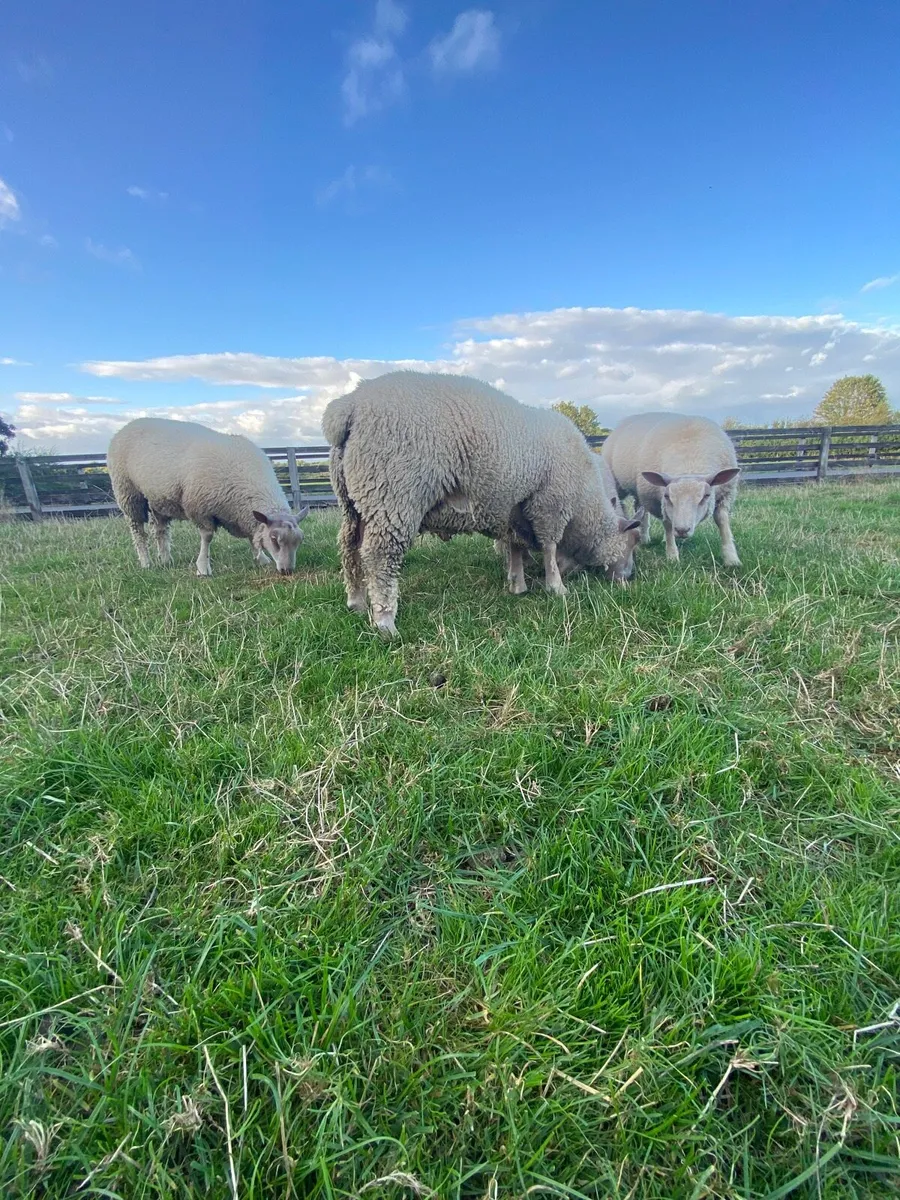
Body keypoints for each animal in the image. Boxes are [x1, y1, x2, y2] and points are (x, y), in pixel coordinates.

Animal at [108, 417, 309, 576]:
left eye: (299, 541)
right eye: (274, 539)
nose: (287, 571)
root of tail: (127, 425)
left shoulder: (241, 514)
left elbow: (252, 536)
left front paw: (261, 559)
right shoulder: (200, 508)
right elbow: (207, 537)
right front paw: (203, 568)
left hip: (158, 499)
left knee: (160, 530)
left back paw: (165, 560)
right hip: (128, 492)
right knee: (137, 530)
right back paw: (146, 562)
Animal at [323, 370, 643, 637]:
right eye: (632, 541)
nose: (629, 578)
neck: (584, 505)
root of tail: (349, 407)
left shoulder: (513, 509)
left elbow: (516, 546)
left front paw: (517, 584)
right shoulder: (550, 504)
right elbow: (549, 548)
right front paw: (557, 588)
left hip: (354, 499)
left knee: (349, 547)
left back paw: (356, 602)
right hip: (394, 492)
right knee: (380, 555)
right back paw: (385, 622)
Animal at [601, 412, 741, 565]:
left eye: (706, 496)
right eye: (668, 496)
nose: (681, 530)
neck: (689, 463)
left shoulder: (725, 496)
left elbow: (722, 521)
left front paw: (731, 558)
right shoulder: (658, 501)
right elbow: (667, 524)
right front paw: (672, 556)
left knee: (640, 508)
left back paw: (645, 538)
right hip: (619, 484)